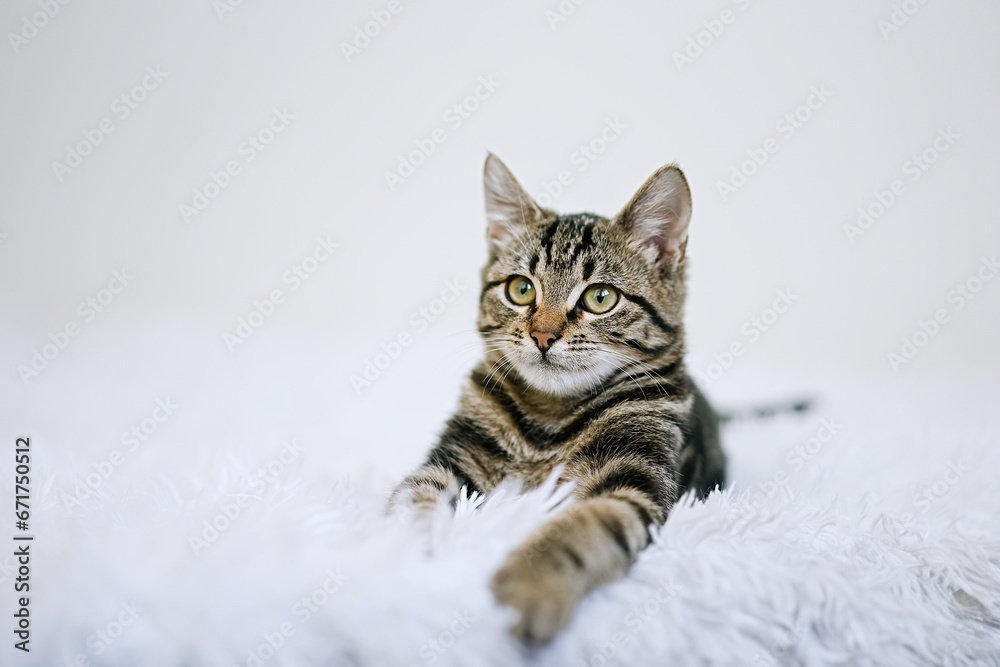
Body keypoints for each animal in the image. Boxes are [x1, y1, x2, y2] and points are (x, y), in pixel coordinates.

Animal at [390, 154, 728, 644]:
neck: (548, 421)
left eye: (601, 297)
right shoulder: (451, 460)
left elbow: (582, 528)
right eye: (521, 289)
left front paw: (531, 584)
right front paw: (406, 546)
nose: (543, 335)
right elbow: (415, 494)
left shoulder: (632, 483)